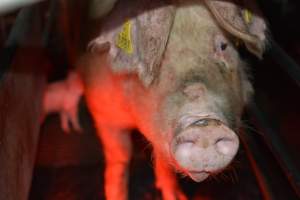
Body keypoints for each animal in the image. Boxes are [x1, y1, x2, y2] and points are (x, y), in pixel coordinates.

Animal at [77, 0, 268, 198]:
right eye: (161, 56)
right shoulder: (101, 110)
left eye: (223, 46)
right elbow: (120, 156)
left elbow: (162, 161)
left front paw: (178, 197)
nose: (205, 125)